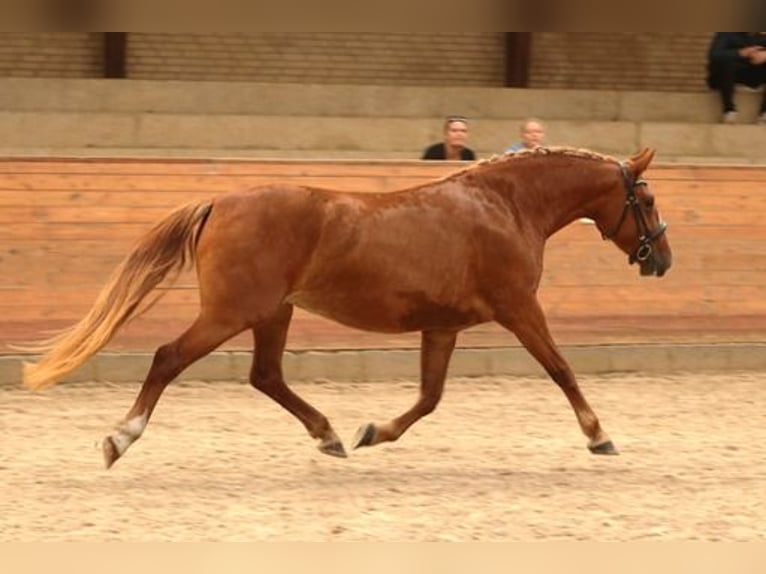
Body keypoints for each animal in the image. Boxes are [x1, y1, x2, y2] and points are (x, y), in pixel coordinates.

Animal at [22, 147, 672, 468]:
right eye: (645, 199)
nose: (662, 259)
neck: (504, 205)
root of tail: (219, 202)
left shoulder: (442, 326)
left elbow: (429, 398)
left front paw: (373, 432)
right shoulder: (518, 309)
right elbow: (562, 370)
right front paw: (599, 436)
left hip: (272, 313)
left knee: (266, 376)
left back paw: (329, 435)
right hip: (233, 313)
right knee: (168, 357)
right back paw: (119, 438)